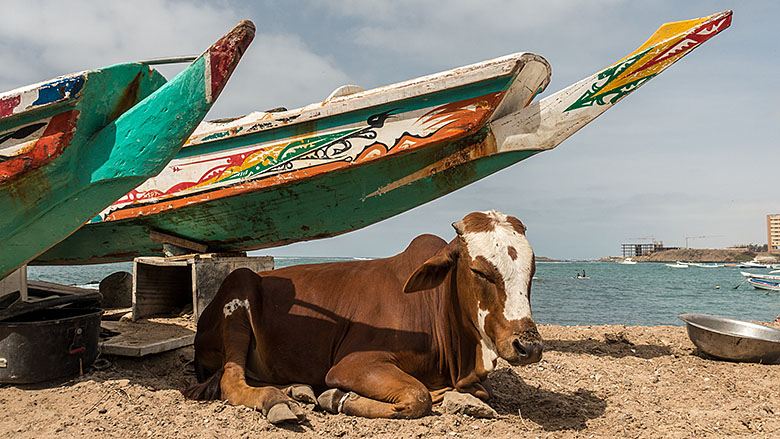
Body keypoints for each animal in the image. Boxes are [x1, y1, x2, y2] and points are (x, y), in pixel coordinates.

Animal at [183, 211, 544, 424]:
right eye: (479, 271)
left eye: (532, 270)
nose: (529, 347)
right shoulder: (353, 364)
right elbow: (419, 397)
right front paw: (336, 397)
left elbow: (481, 391)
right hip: (238, 289)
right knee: (232, 382)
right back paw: (279, 400)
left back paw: (297, 389)